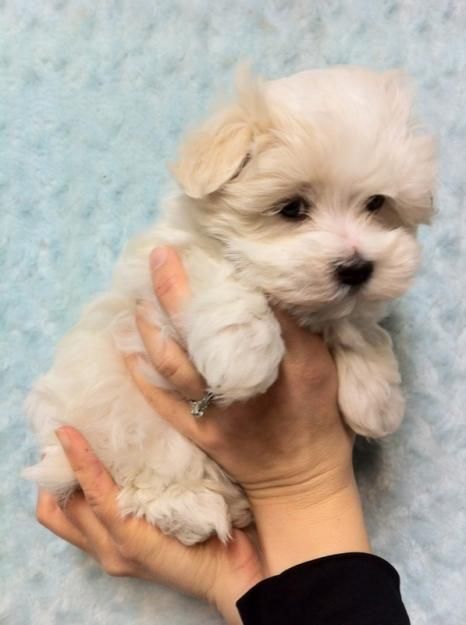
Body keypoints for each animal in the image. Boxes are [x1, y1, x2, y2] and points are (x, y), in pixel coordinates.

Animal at [22, 66, 436, 544]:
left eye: (377, 203)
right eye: (291, 208)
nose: (356, 268)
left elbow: (356, 324)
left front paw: (376, 398)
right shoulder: (161, 273)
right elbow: (226, 277)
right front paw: (244, 358)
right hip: (124, 428)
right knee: (148, 479)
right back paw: (191, 508)